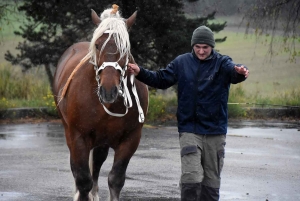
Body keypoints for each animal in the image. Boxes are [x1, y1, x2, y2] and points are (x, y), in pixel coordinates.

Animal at [53, 5, 149, 200]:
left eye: (125, 47)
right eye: (97, 45)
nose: (108, 90)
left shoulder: (131, 138)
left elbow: (115, 179)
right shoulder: (78, 137)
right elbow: (83, 180)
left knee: (97, 164)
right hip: (70, 133)